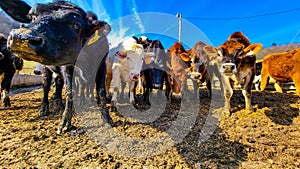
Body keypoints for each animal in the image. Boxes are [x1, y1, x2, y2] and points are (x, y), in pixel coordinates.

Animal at [0, 0, 111, 134]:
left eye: (76, 26)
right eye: (32, 17)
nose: (21, 38)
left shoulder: (101, 66)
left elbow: (101, 91)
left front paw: (107, 118)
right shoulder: (68, 67)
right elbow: (69, 91)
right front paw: (65, 122)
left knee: (58, 84)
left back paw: (60, 104)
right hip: (46, 69)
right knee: (46, 86)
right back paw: (45, 108)